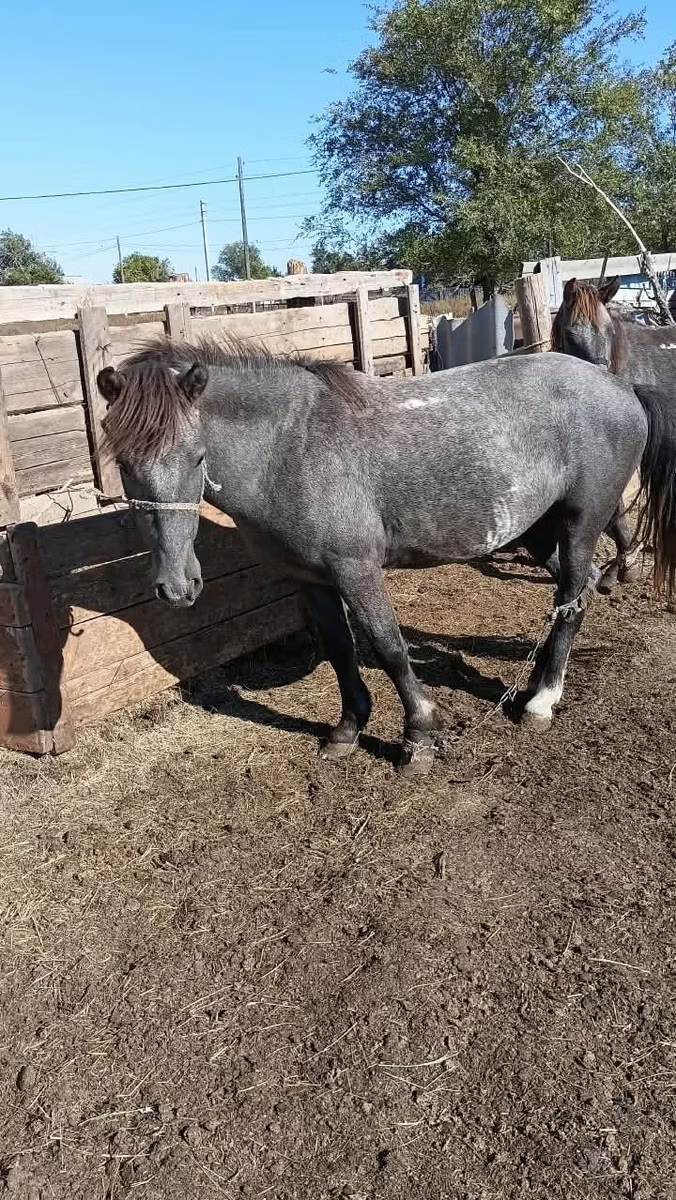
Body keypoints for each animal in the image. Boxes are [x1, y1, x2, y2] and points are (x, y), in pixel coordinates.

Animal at [96, 338, 676, 776]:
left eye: (197, 457)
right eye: (124, 464)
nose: (177, 587)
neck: (289, 447)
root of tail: (621, 386)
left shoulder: (357, 570)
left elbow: (389, 648)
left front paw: (418, 737)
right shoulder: (309, 578)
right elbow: (339, 649)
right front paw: (348, 729)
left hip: (580, 524)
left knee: (572, 602)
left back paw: (542, 701)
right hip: (540, 533)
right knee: (579, 593)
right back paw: (536, 683)